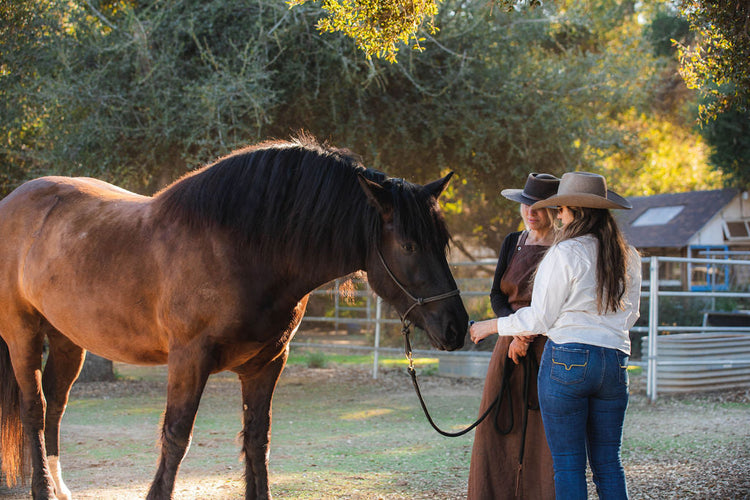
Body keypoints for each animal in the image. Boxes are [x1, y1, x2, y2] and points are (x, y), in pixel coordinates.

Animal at [0, 135, 468, 499]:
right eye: (408, 246)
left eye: (443, 241)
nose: (457, 326)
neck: (241, 248)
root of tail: (14, 200)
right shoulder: (188, 361)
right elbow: (176, 437)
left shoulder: (267, 363)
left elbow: (258, 440)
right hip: (23, 333)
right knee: (34, 408)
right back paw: (42, 489)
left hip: (67, 339)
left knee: (56, 406)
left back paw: (60, 488)